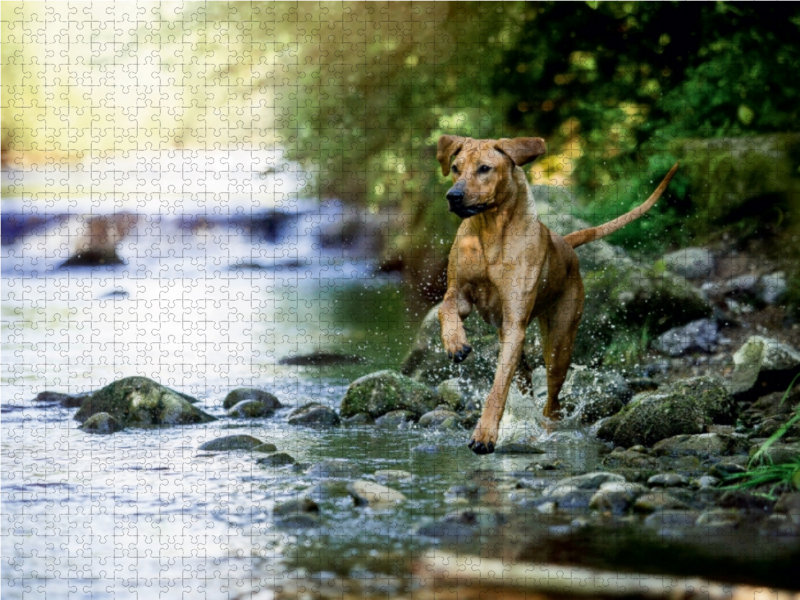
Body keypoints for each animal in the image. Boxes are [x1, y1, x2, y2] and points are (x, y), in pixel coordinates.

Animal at [434, 136, 680, 454]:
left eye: (484, 168)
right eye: (455, 167)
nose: (453, 196)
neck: (490, 231)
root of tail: (564, 242)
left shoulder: (515, 322)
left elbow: (498, 388)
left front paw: (485, 434)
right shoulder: (463, 295)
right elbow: (447, 307)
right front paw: (455, 342)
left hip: (559, 343)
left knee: (553, 402)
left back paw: (546, 432)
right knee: (525, 377)